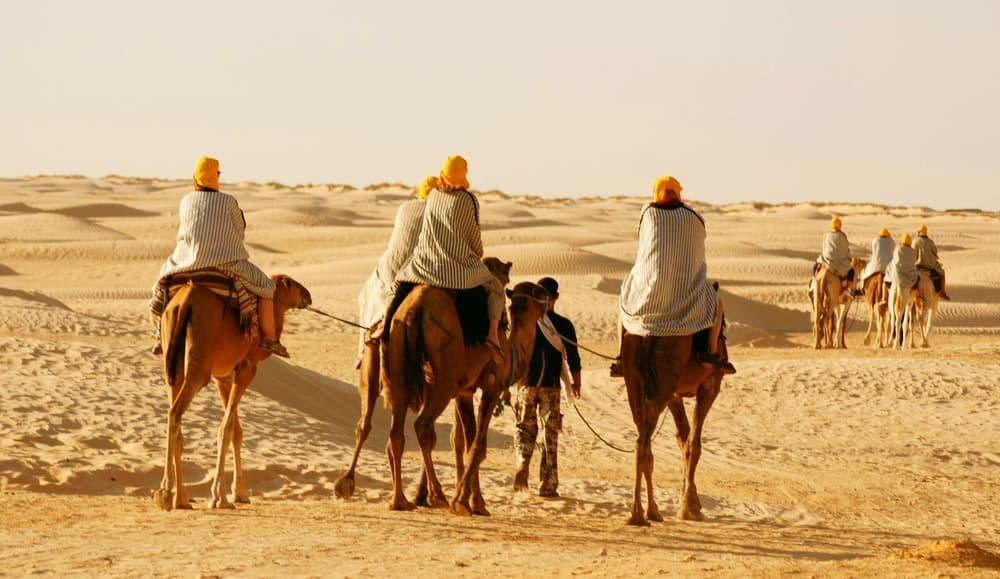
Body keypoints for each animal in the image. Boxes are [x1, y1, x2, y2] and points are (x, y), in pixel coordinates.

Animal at [154, 273, 311, 511]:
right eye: (292, 283)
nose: (308, 295)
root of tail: (184, 302)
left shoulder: (223, 377)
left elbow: (237, 430)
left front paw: (239, 494)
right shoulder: (247, 368)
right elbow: (226, 428)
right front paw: (220, 496)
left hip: (172, 363)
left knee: (176, 417)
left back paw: (181, 499)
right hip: (199, 365)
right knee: (175, 413)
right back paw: (166, 492)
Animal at [380, 279, 548, 513]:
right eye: (540, 292)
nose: (551, 294)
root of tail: (415, 309)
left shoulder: (465, 392)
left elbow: (468, 443)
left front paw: (475, 501)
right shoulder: (492, 386)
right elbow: (478, 446)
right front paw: (462, 501)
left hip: (400, 360)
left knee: (396, 433)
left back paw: (400, 501)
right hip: (447, 377)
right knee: (422, 425)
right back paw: (437, 495)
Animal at [621, 327, 727, 526]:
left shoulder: (675, 395)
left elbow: (683, 438)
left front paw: (690, 499)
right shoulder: (710, 385)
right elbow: (693, 444)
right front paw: (690, 508)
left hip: (635, 386)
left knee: (644, 443)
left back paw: (651, 511)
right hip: (663, 382)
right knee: (643, 443)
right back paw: (639, 514)